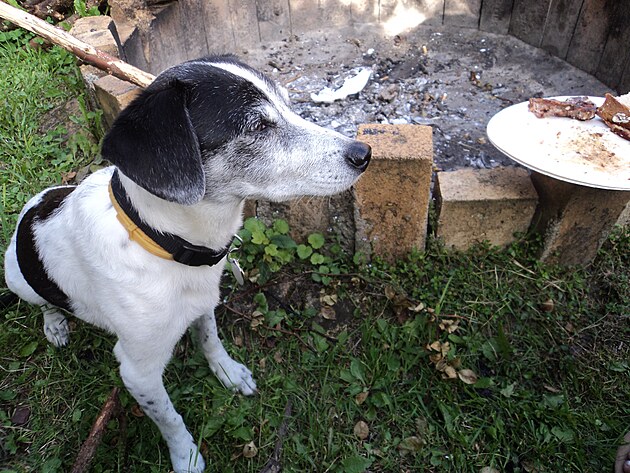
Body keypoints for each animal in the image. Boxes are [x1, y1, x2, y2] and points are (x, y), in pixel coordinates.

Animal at [3, 56, 370, 472]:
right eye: (257, 125)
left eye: (289, 104)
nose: (364, 152)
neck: (162, 243)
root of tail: (32, 207)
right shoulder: (138, 372)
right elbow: (169, 417)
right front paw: (186, 455)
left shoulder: (203, 302)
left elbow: (210, 338)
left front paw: (227, 371)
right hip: (16, 276)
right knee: (44, 302)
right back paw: (55, 323)